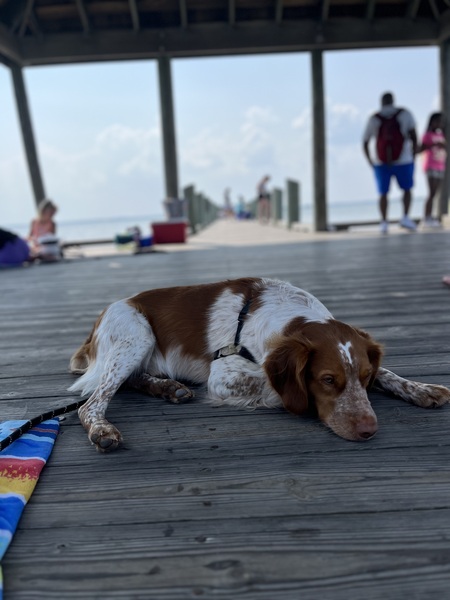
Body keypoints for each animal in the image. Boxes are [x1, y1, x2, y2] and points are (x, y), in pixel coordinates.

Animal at [68, 278, 450, 452]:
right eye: (328, 380)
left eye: (365, 377)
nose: (369, 430)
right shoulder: (222, 375)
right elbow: (282, 390)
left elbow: (387, 372)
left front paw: (422, 388)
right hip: (137, 335)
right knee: (90, 403)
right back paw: (102, 429)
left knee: (131, 380)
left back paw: (169, 388)